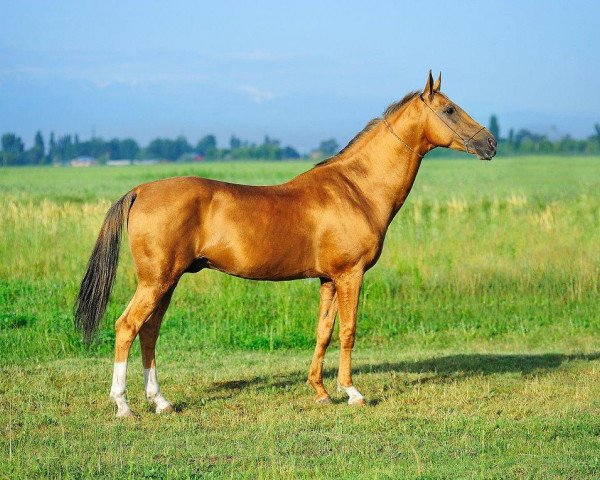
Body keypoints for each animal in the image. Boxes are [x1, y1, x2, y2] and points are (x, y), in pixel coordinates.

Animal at [75, 71, 496, 416]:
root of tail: (140, 190)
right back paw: (123, 406)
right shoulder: (351, 275)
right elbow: (348, 331)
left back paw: (160, 401)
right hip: (156, 280)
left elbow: (323, 332)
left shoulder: (328, 279)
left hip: (168, 281)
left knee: (148, 332)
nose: (490, 143)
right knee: (127, 326)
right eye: (449, 109)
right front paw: (352, 393)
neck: (356, 188)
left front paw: (321, 392)